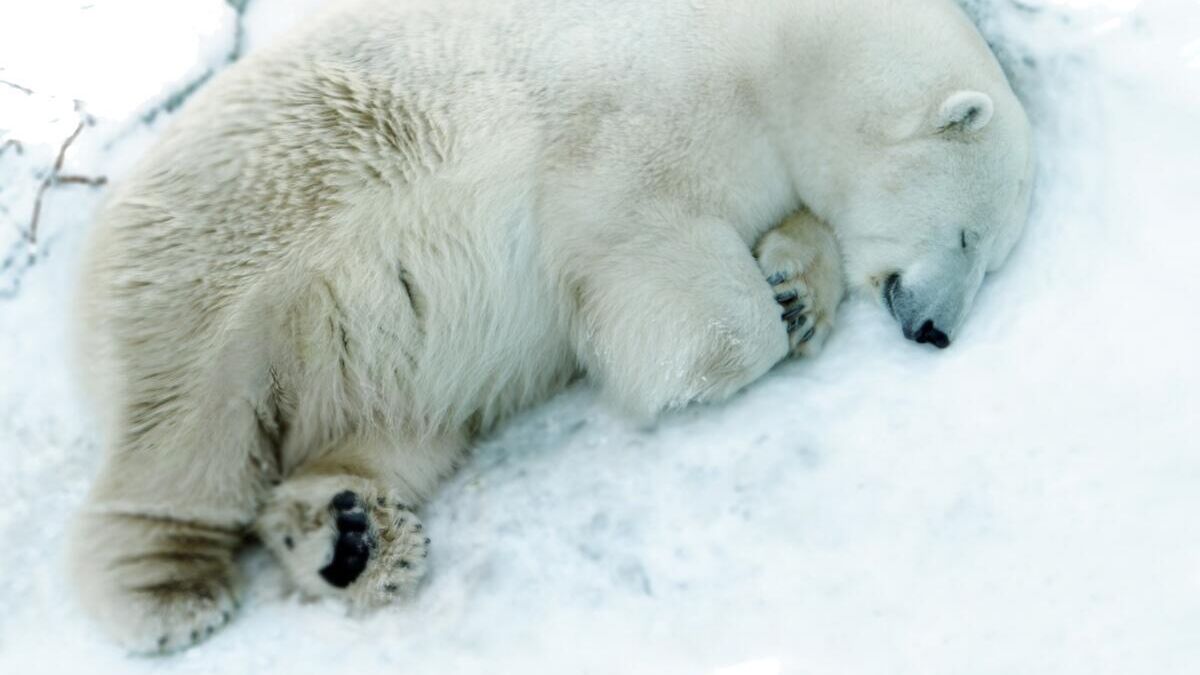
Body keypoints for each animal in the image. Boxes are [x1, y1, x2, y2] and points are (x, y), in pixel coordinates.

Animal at [70, 0, 1036, 653]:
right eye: (972, 237)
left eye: (992, 256)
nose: (937, 330)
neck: (778, 45)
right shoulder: (637, 110)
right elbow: (640, 243)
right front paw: (724, 344)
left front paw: (797, 290)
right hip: (242, 244)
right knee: (189, 420)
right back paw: (169, 592)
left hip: (371, 360)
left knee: (389, 430)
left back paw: (352, 536)